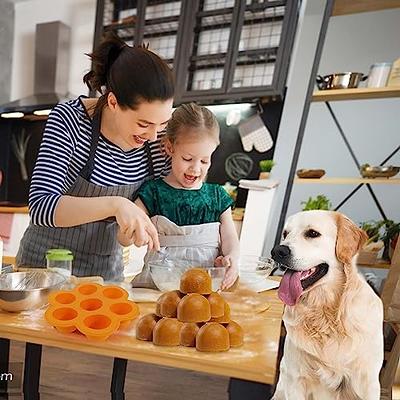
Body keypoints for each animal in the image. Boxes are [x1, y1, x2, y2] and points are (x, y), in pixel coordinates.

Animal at [270, 211, 382, 398]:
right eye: (285, 234)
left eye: (312, 233)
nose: (277, 251)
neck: (325, 314)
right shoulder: (295, 378)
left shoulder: (369, 382)